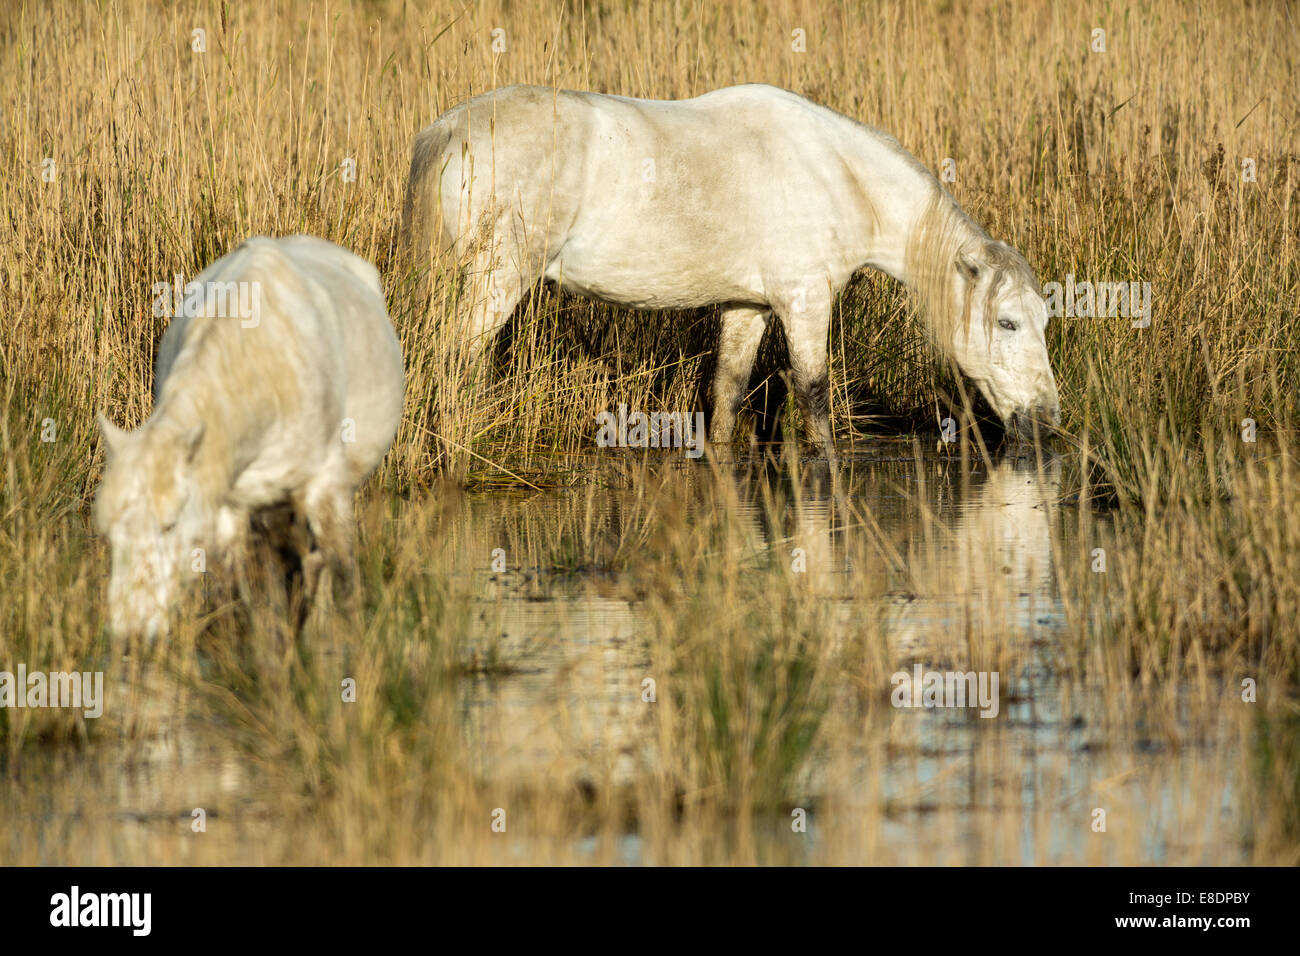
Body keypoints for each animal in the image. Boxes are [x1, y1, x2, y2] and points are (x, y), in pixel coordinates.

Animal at [96, 234, 403, 639]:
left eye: (170, 523)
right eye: (110, 533)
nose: (130, 630)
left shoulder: (327, 490)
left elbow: (344, 577)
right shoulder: (230, 510)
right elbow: (245, 599)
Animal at [400, 83, 1060, 452]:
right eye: (1008, 323)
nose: (1046, 417)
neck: (837, 173)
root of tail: (451, 130)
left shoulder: (748, 306)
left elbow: (726, 398)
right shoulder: (803, 302)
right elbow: (815, 402)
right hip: (496, 280)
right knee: (455, 359)